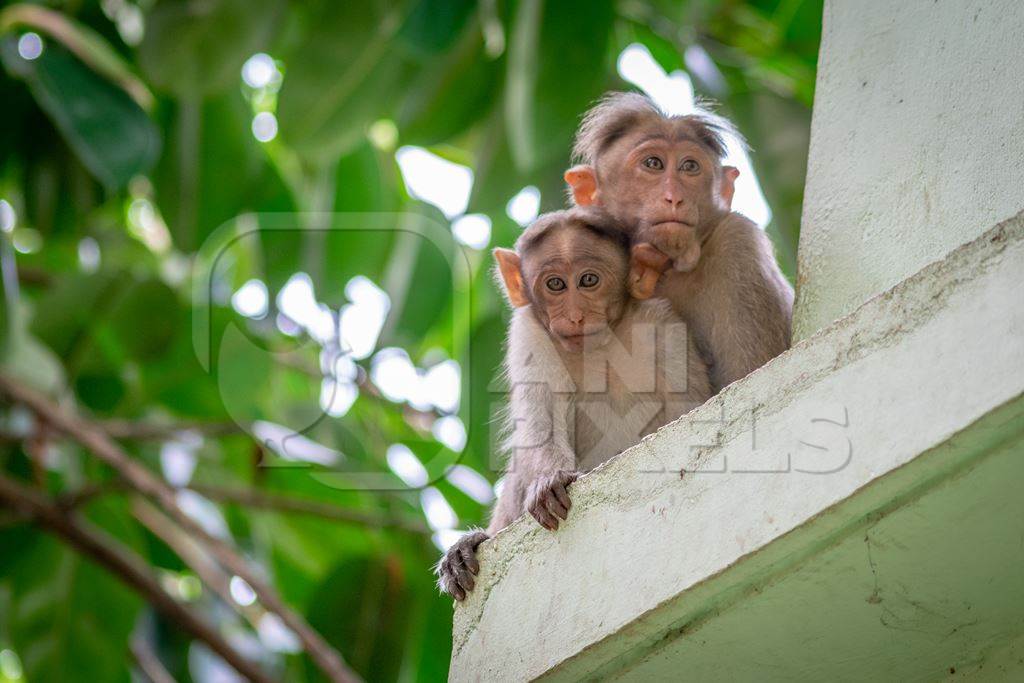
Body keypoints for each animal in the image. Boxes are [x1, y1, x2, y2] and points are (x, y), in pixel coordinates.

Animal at [434, 206, 712, 598]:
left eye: (588, 280)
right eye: (555, 285)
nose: (575, 316)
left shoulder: (664, 326)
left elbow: (688, 409)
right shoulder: (528, 332)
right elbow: (540, 425)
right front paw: (550, 482)